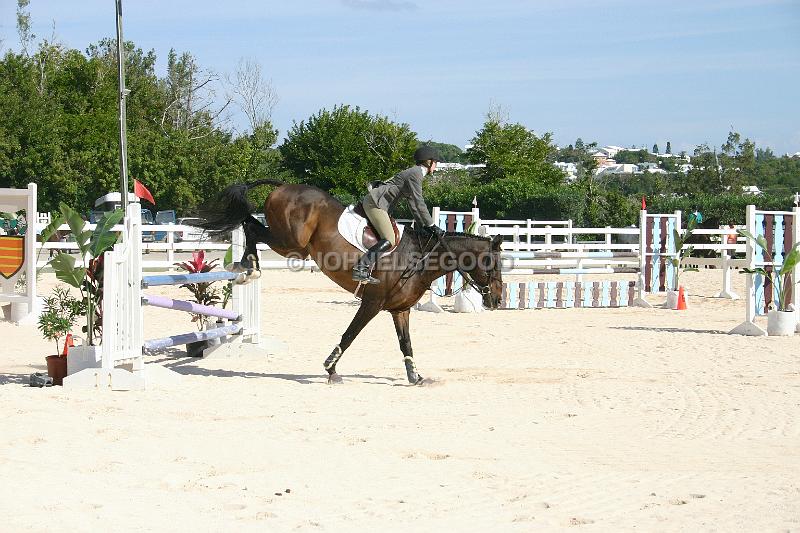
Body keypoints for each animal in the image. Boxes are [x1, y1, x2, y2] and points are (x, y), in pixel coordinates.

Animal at [200, 181, 504, 384]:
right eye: (493, 263)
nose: (498, 299)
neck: (418, 259)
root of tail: (285, 185)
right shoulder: (372, 302)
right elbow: (350, 335)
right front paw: (331, 369)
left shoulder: (400, 310)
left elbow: (405, 343)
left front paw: (414, 375)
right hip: (292, 243)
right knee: (250, 227)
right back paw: (248, 267)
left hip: (290, 242)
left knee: (250, 222)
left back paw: (247, 266)